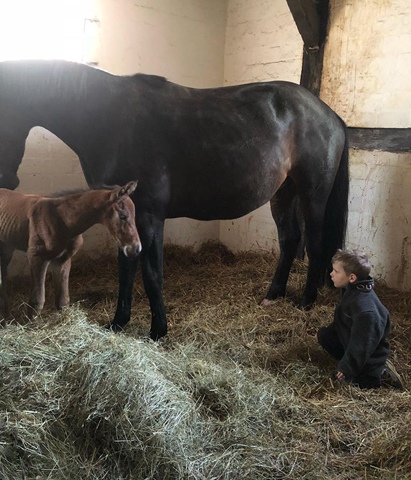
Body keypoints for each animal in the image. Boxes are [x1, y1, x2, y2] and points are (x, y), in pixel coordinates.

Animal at [0, 182, 141, 324]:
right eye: (123, 216)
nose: (136, 248)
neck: (63, 220)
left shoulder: (62, 259)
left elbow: (63, 300)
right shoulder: (36, 257)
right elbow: (37, 301)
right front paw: (31, 326)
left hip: (7, 249)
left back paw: (7, 316)